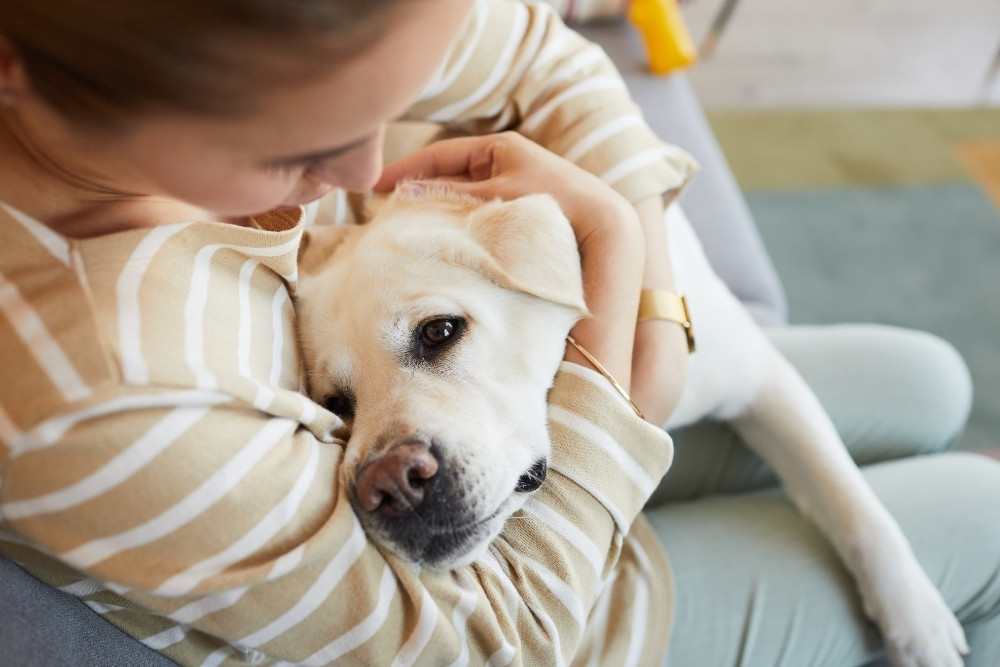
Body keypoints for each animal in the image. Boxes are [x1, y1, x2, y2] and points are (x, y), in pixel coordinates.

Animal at [296, 184, 968, 667]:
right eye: (336, 404)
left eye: (440, 330)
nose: (388, 484)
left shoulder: (762, 379)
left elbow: (852, 501)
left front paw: (918, 622)